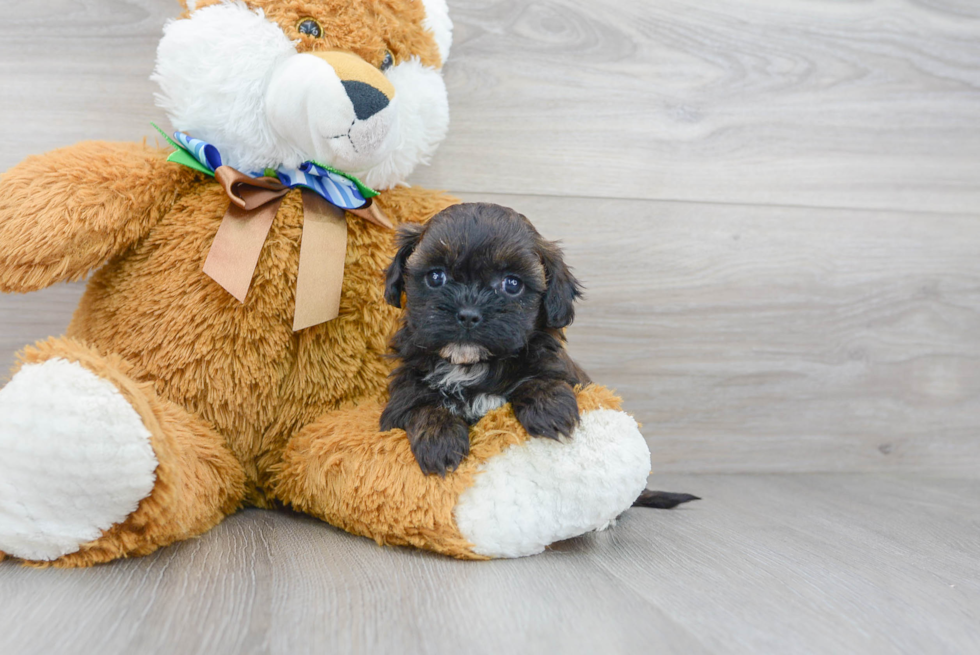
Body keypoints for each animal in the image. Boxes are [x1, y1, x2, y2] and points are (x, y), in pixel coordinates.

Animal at [378, 202, 584, 474]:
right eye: (436, 277)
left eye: (512, 284)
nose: (468, 314)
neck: (470, 367)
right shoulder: (403, 393)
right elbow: (421, 405)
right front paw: (439, 439)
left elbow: (540, 376)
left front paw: (549, 405)